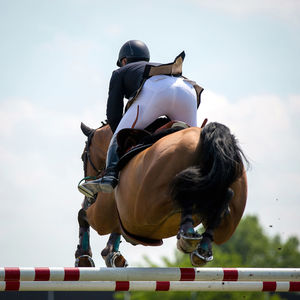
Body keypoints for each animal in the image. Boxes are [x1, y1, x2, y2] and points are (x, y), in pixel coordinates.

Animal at [75, 119, 248, 268]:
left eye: (83, 156)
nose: (88, 198)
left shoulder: (102, 217)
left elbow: (82, 214)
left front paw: (85, 257)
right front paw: (114, 256)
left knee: (186, 190)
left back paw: (188, 236)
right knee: (222, 200)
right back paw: (201, 249)